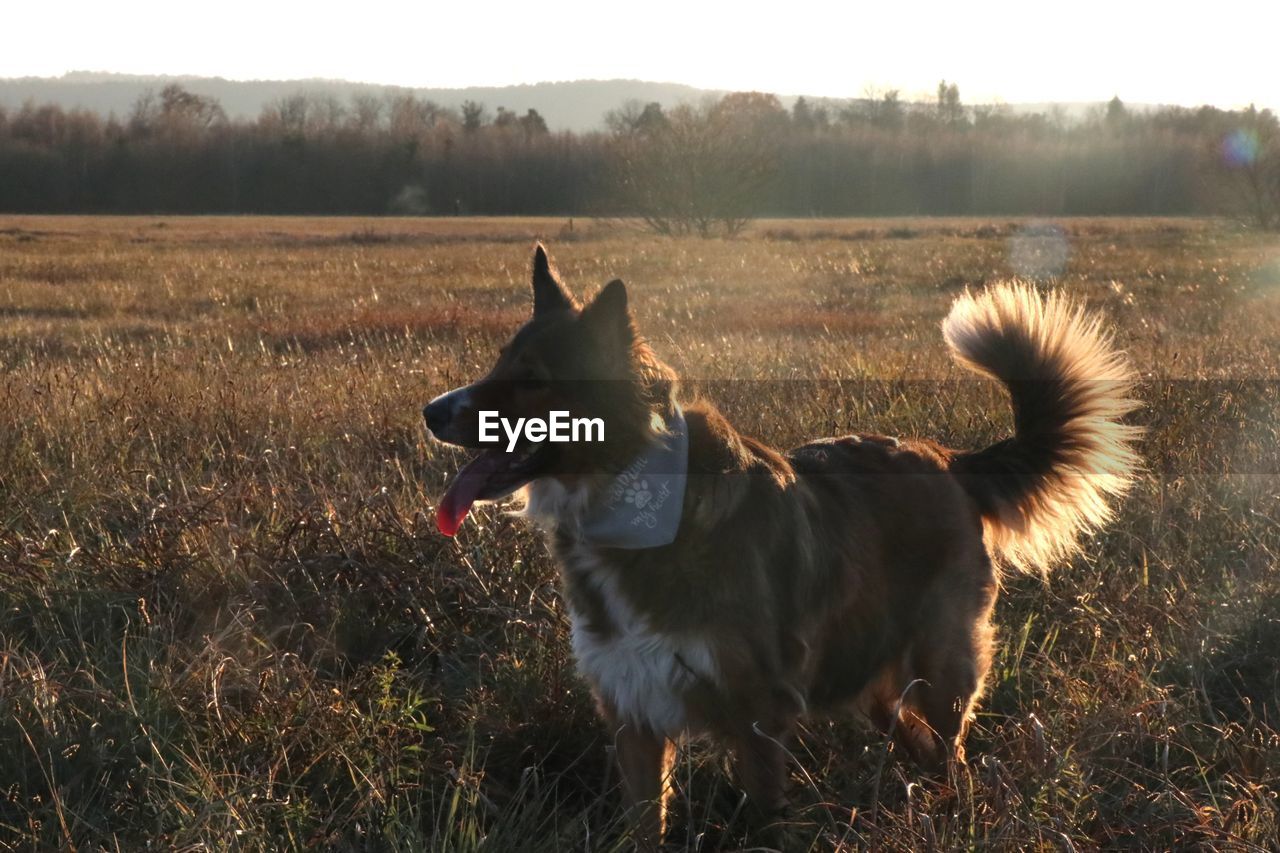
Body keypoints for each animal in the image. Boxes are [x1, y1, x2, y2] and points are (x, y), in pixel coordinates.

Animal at [427, 245, 1141, 845]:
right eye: (499, 364)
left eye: (531, 379)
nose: (432, 412)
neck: (633, 498)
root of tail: (948, 459)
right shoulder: (632, 710)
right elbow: (643, 824)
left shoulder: (757, 715)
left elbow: (765, 821)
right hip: (873, 674)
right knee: (919, 744)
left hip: (940, 665)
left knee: (952, 753)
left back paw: (952, 817)